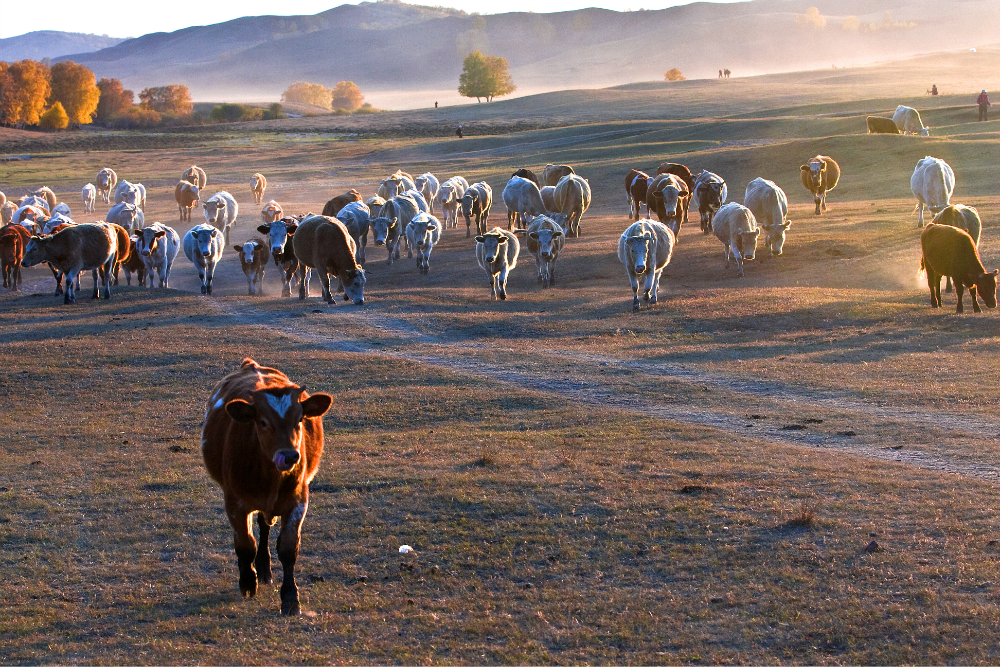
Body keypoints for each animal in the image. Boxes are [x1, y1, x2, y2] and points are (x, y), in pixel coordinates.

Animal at [201, 360, 334, 616]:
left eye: (300, 419)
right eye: (262, 422)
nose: (290, 455)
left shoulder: (298, 500)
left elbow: (288, 547)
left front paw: (290, 598)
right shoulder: (235, 502)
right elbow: (245, 544)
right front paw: (247, 582)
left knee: (264, 525)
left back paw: (264, 568)